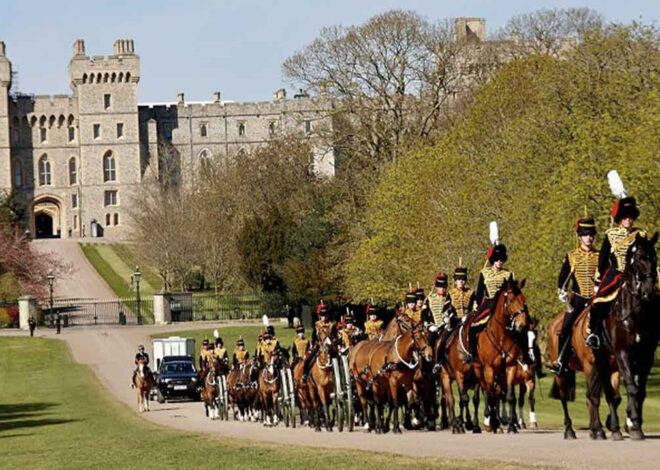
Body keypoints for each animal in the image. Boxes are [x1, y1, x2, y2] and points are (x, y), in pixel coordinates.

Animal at [472, 278, 528, 436]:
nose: (522, 325)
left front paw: (511, 426)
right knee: (485, 392)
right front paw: (493, 422)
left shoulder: (510, 367)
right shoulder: (489, 368)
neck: (501, 335)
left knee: (497, 393)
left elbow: (509, 397)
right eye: (511, 300)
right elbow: (490, 395)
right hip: (479, 370)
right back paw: (485, 423)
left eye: (523, 300)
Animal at [548, 231, 656, 440]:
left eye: (654, 256)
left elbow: (633, 392)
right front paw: (629, 425)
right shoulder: (619, 355)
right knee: (568, 397)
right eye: (639, 257)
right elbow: (623, 389)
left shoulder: (642, 357)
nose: (648, 290)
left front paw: (628, 425)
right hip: (567, 370)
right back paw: (572, 429)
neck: (633, 315)